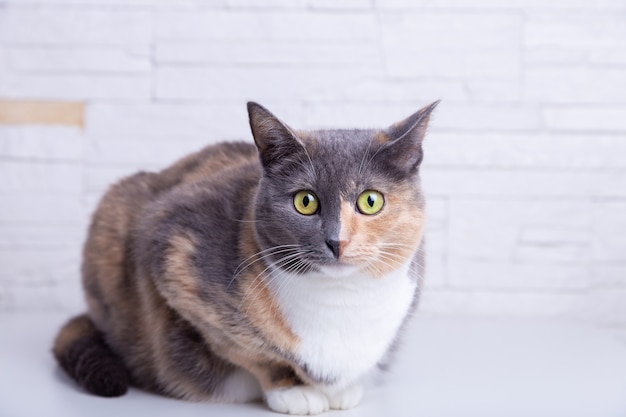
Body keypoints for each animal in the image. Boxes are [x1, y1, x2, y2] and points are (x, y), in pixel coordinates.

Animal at [53, 100, 436, 412]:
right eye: (305, 201)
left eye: (370, 201)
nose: (336, 241)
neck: (341, 302)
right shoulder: (174, 252)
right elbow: (252, 351)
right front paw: (294, 390)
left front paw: (343, 388)